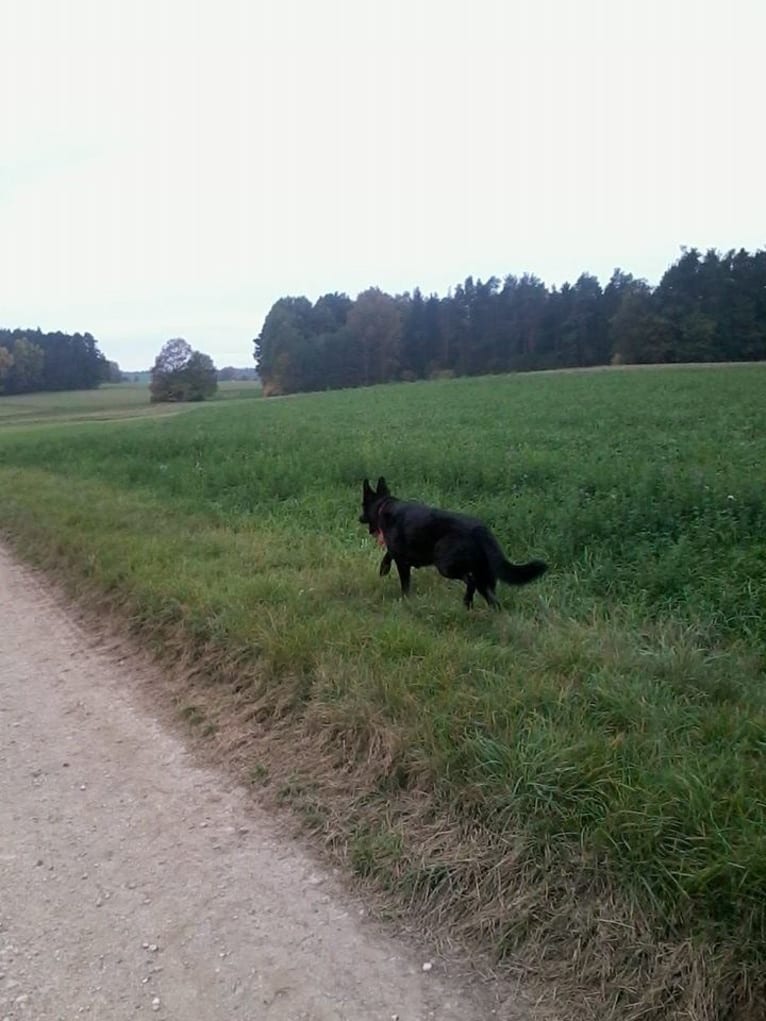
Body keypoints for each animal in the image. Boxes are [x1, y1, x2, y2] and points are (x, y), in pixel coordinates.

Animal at [361, 475, 547, 608]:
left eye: (362, 505)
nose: (359, 518)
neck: (385, 506)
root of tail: (480, 530)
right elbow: (388, 554)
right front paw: (384, 568)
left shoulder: (402, 562)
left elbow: (404, 582)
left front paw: (405, 599)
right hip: (484, 576)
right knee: (492, 599)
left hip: (446, 566)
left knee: (470, 582)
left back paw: (467, 602)